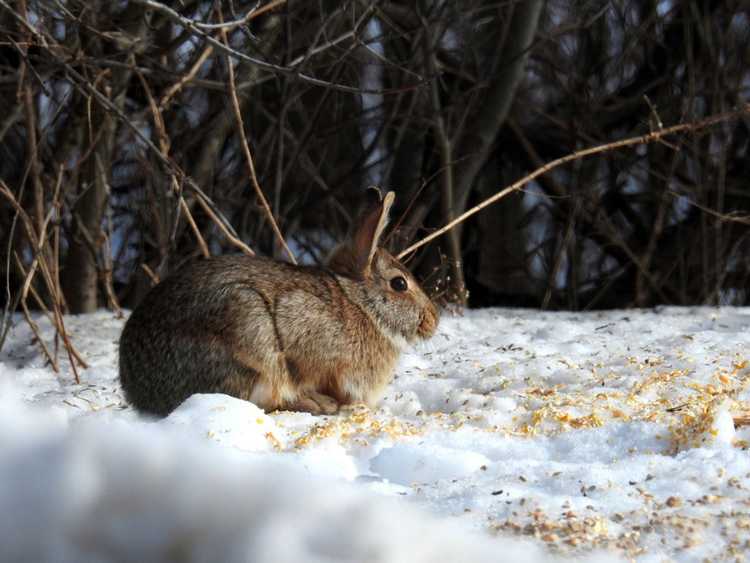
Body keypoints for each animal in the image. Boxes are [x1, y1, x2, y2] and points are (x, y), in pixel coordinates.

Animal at [117, 192, 440, 416]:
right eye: (399, 284)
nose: (433, 320)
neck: (361, 304)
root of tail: (142, 392)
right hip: (246, 338)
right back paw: (318, 403)